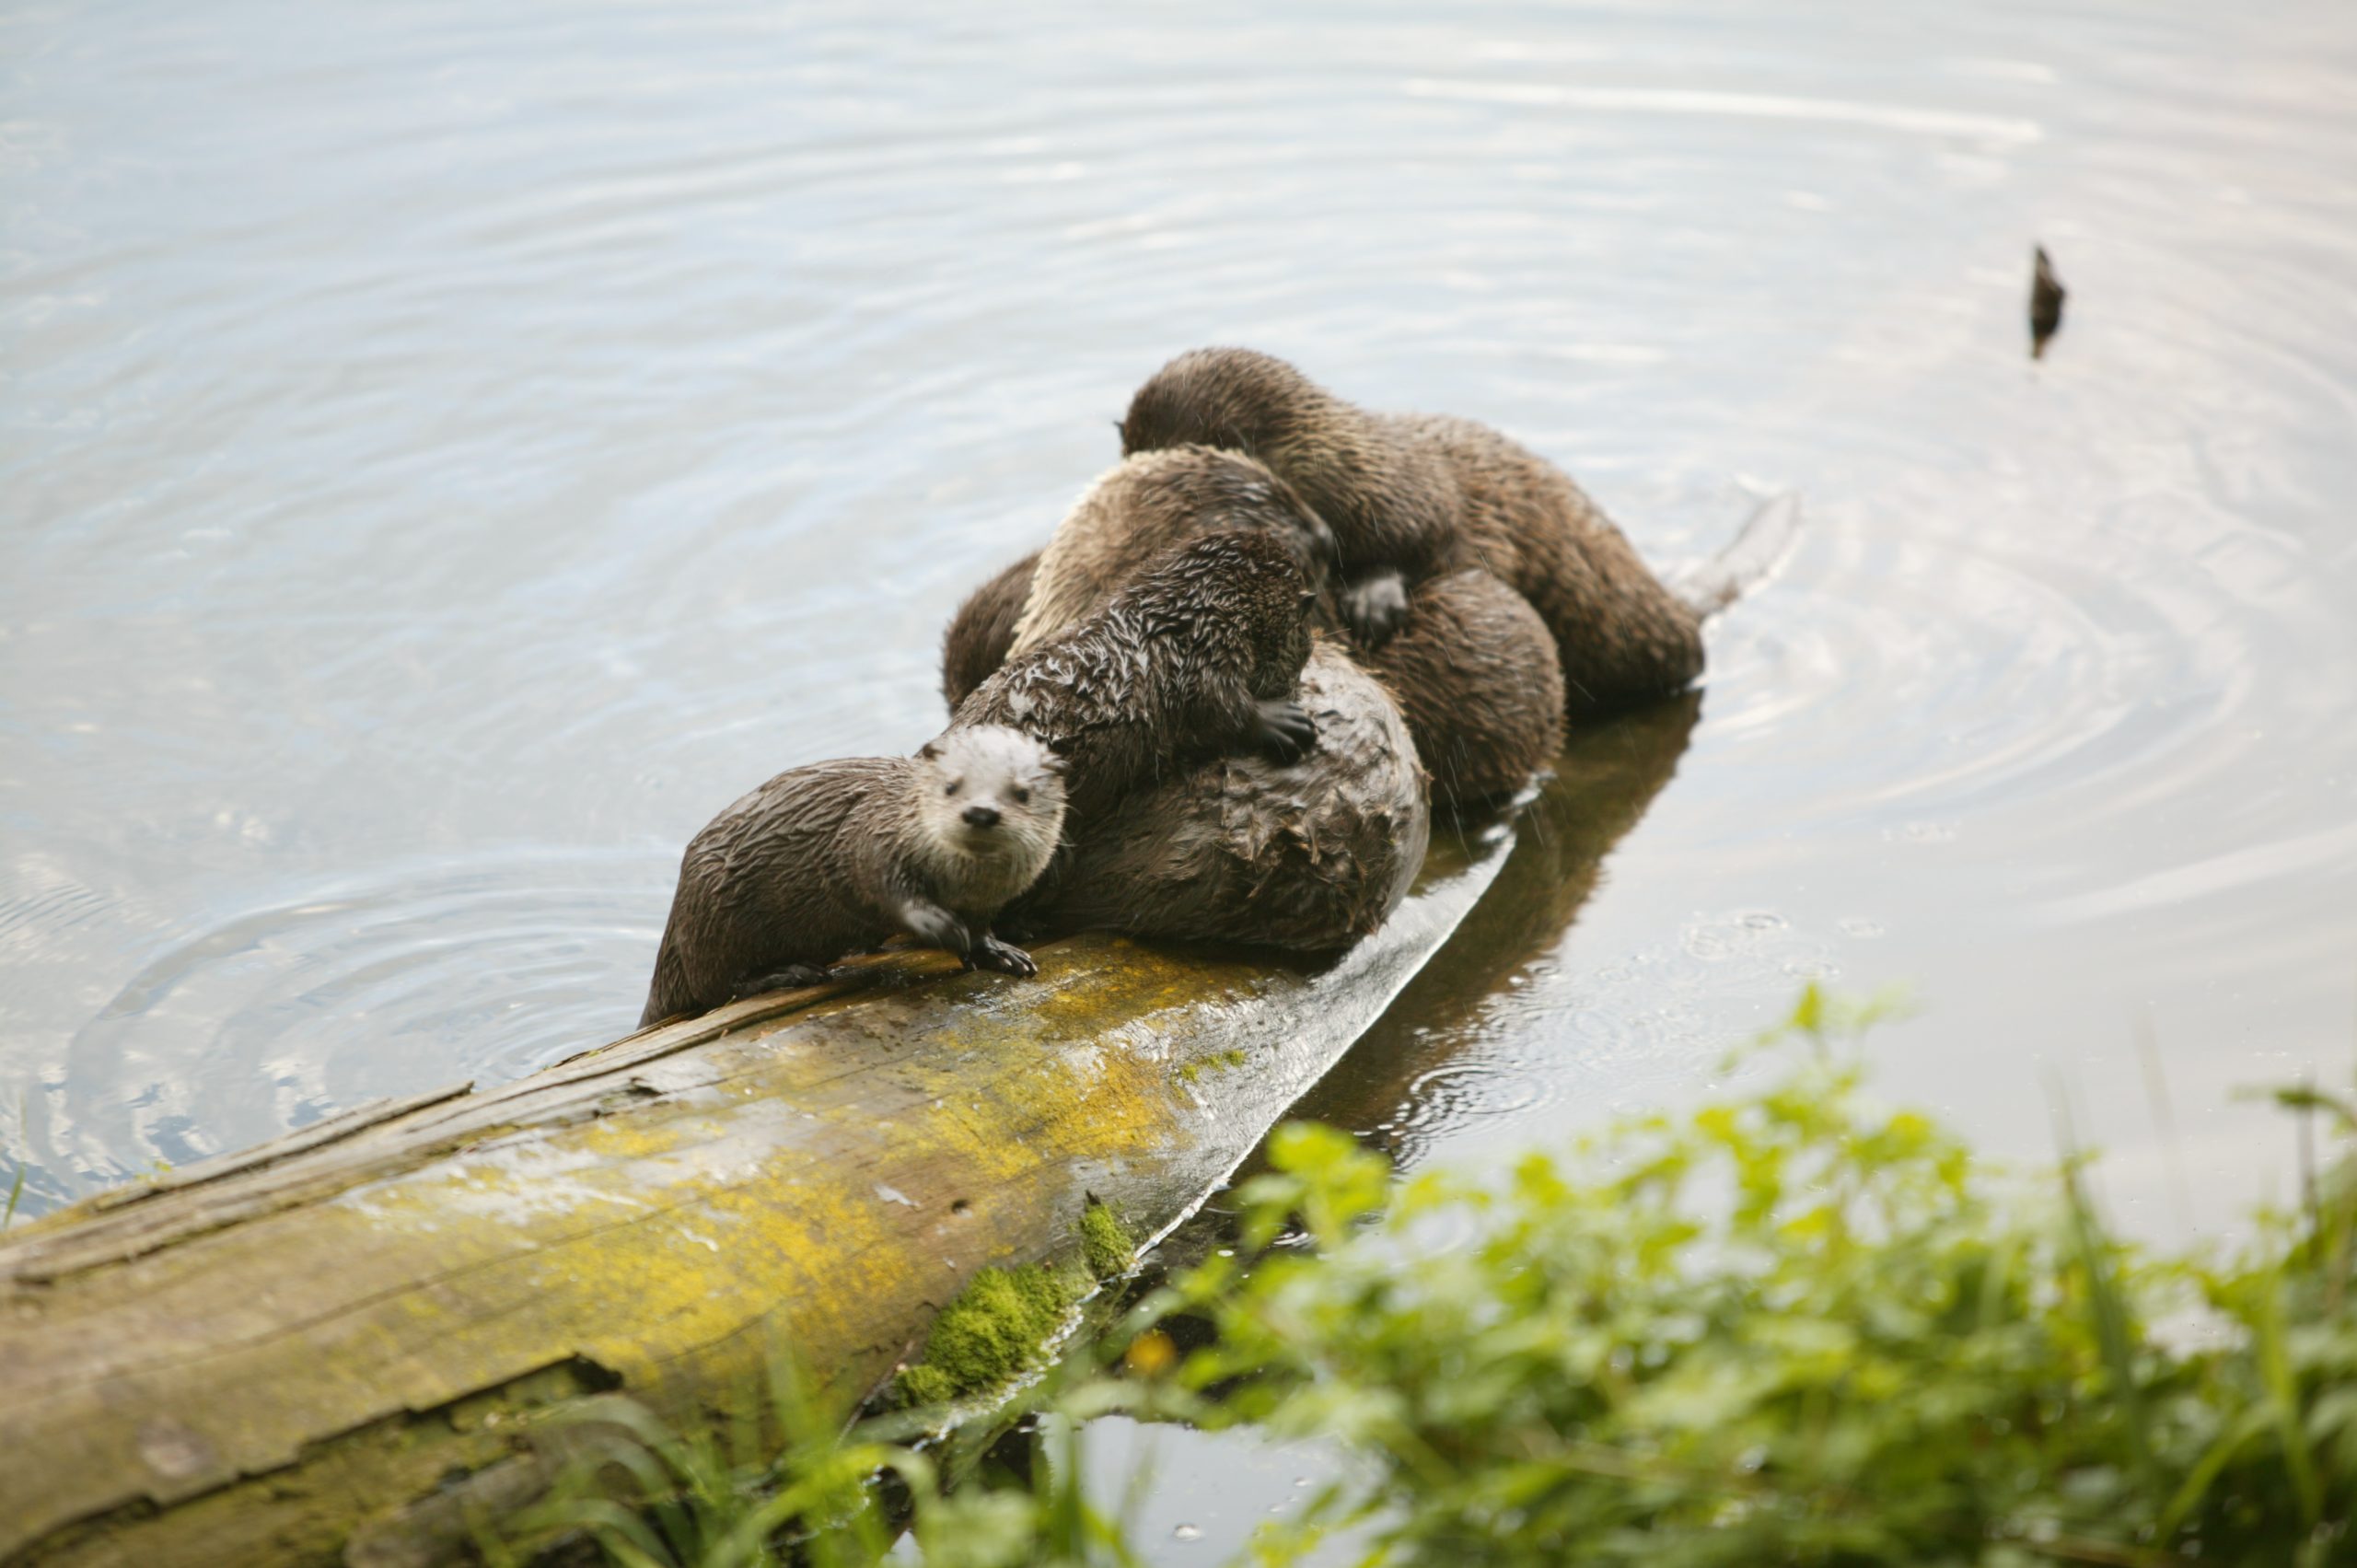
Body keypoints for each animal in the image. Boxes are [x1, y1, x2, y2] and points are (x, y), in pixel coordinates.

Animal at [638, 724, 1066, 1027]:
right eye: (951, 785)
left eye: (1021, 792)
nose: (980, 812)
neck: (963, 885)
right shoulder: (870, 835)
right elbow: (884, 890)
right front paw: (944, 929)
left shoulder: (987, 900)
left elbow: (980, 929)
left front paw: (1000, 952)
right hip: (713, 915)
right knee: (716, 987)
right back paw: (790, 973)